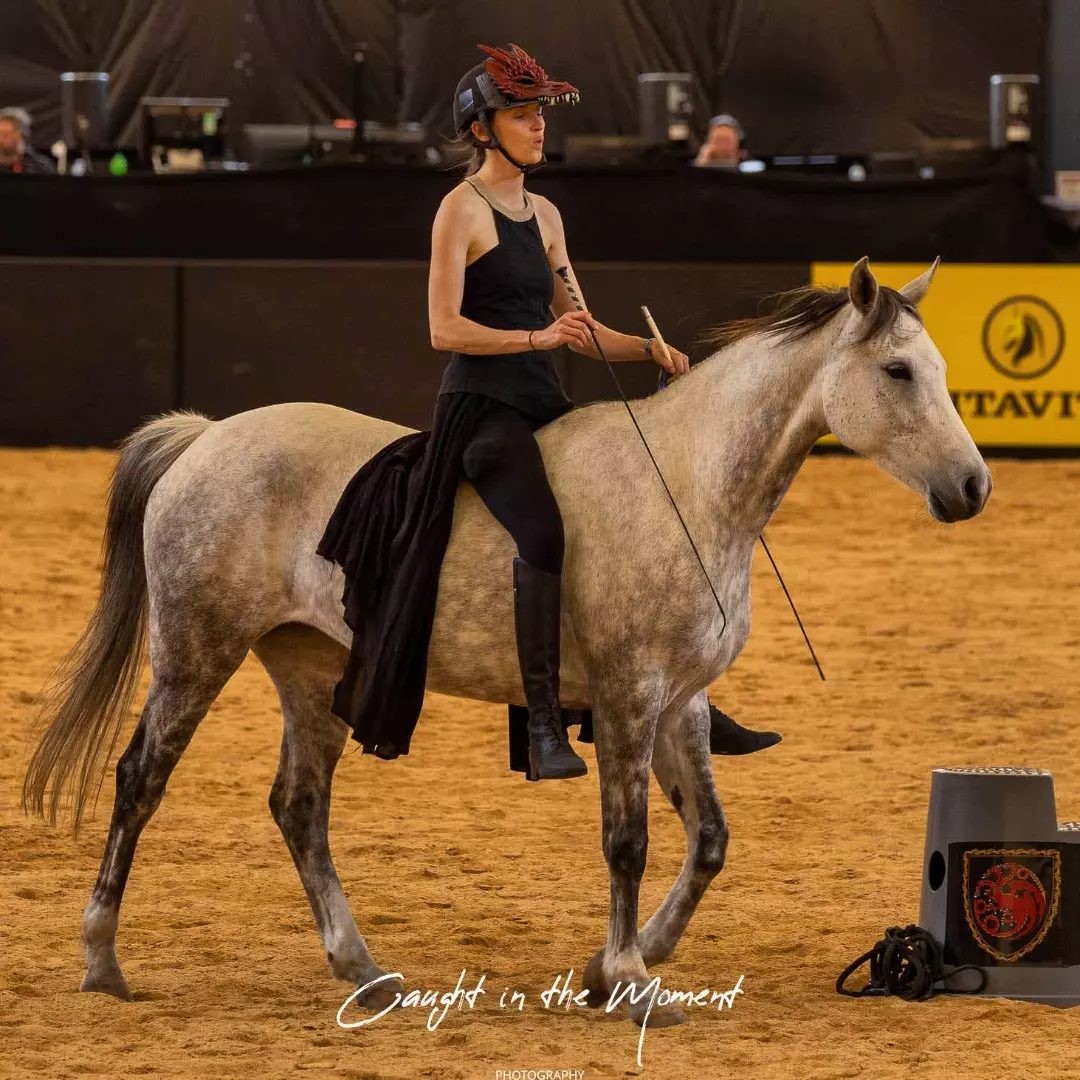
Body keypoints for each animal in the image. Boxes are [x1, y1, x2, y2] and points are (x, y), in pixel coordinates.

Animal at [22, 256, 991, 1028]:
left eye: (940, 369)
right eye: (898, 369)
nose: (974, 486)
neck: (687, 483)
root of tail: (205, 437)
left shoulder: (681, 702)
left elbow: (709, 839)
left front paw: (625, 960)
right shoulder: (629, 700)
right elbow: (629, 841)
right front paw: (630, 977)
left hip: (311, 669)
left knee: (299, 807)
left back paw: (362, 969)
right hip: (196, 653)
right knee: (140, 781)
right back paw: (102, 960)